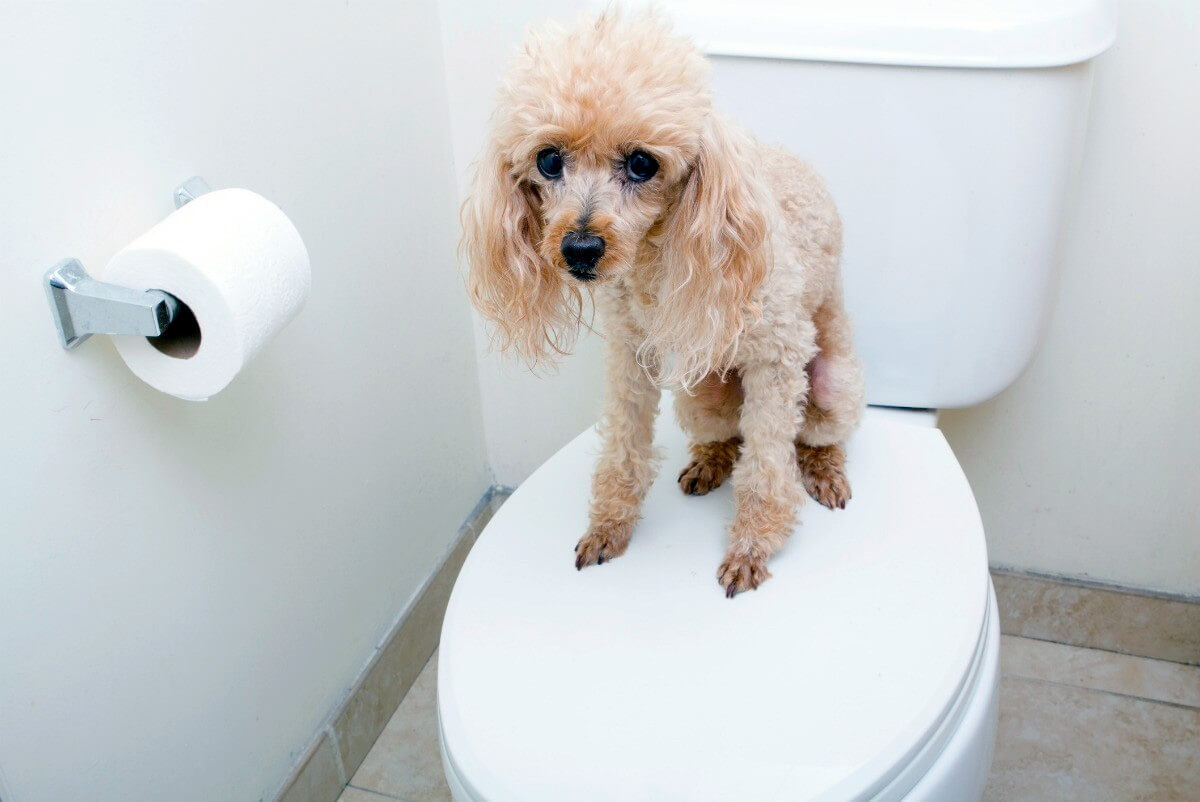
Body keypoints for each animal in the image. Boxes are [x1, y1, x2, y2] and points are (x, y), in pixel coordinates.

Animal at [458, 6, 864, 595]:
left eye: (643, 164)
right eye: (549, 160)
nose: (580, 249)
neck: (660, 251)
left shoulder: (778, 359)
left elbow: (768, 463)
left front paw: (752, 545)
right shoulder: (631, 355)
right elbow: (625, 443)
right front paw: (609, 524)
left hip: (832, 384)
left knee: (814, 437)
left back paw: (824, 470)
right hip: (704, 396)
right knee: (728, 434)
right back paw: (709, 463)